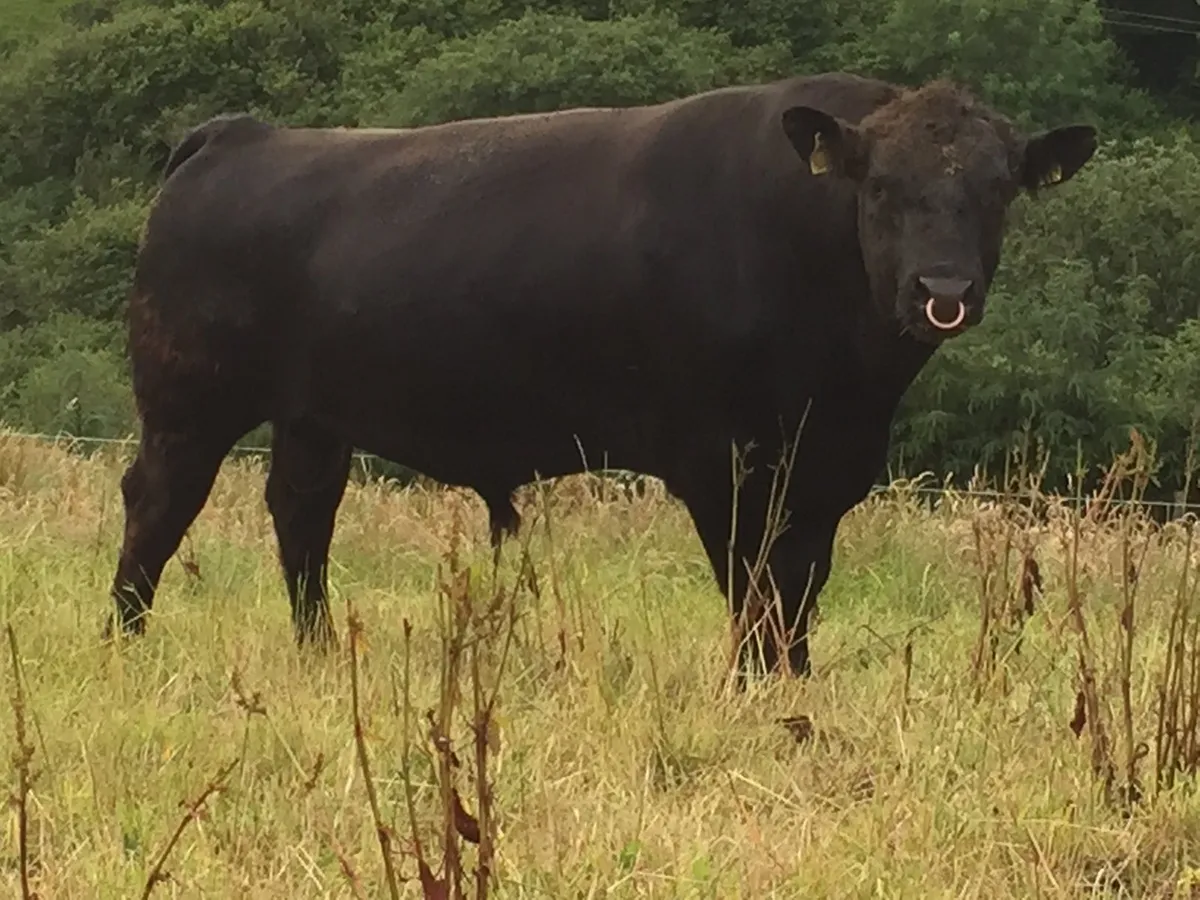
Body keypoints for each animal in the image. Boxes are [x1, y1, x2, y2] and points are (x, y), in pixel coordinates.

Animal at [105, 72, 1099, 676]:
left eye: (998, 191)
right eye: (882, 188)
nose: (945, 291)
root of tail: (239, 135)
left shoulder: (824, 471)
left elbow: (799, 590)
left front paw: (794, 687)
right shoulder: (723, 462)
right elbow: (753, 587)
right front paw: (756, 693)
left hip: (315, 413)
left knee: (303, 513)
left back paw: (316, 654)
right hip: (187, 397)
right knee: (158, 502)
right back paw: (124, 639)